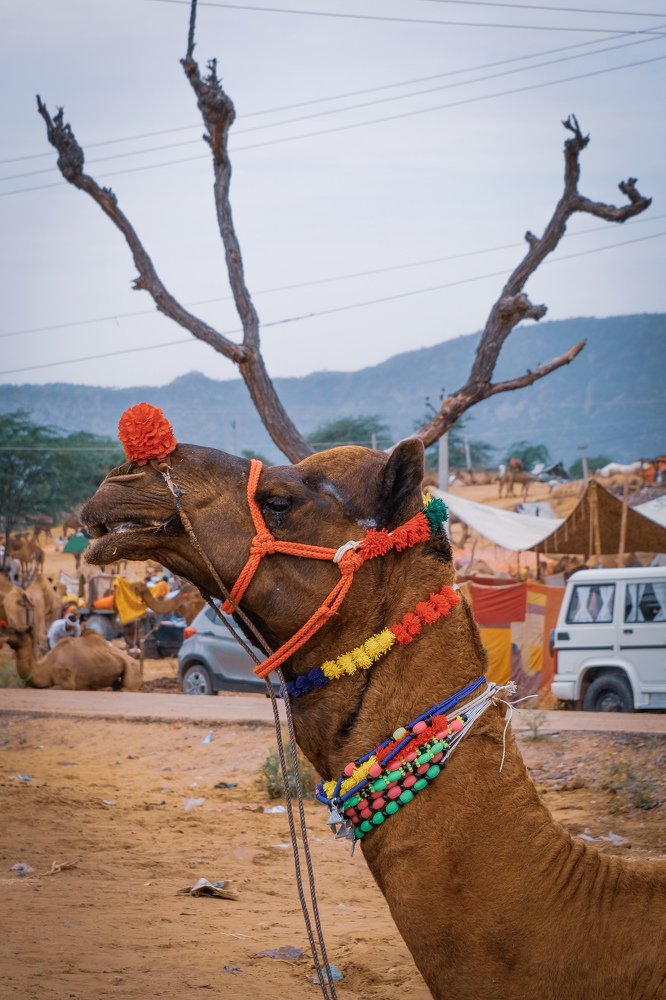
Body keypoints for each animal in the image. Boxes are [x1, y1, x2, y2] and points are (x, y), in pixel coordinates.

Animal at [0, 625, 141, 691]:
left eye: (17, 631)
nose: (3, 632)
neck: (44, 668)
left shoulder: (67, 683)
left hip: (132, 668)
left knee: (125, 688)